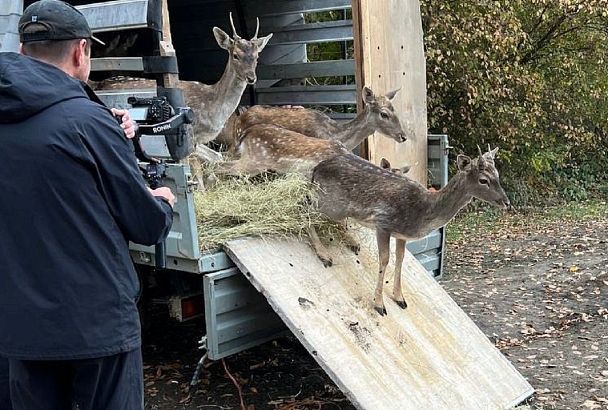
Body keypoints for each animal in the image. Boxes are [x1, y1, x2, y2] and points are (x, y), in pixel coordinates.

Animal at [93, 14, 274, 164]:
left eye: (257, 56)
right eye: (235, 55)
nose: (251, 78)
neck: (213, 111)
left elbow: (217, 157)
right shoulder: (190, 135)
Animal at [306, 146, 510, 316]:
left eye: (498, 175)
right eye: (483, 180)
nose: (506, 202)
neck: (421, 214)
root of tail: (316, 169)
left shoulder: (401, 235)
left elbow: (400, 259)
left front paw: (400, 298)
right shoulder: (383, 222)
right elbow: (385, 259)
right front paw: (379, 304)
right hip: (329, 203)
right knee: (306, 211)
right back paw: (324, 255)